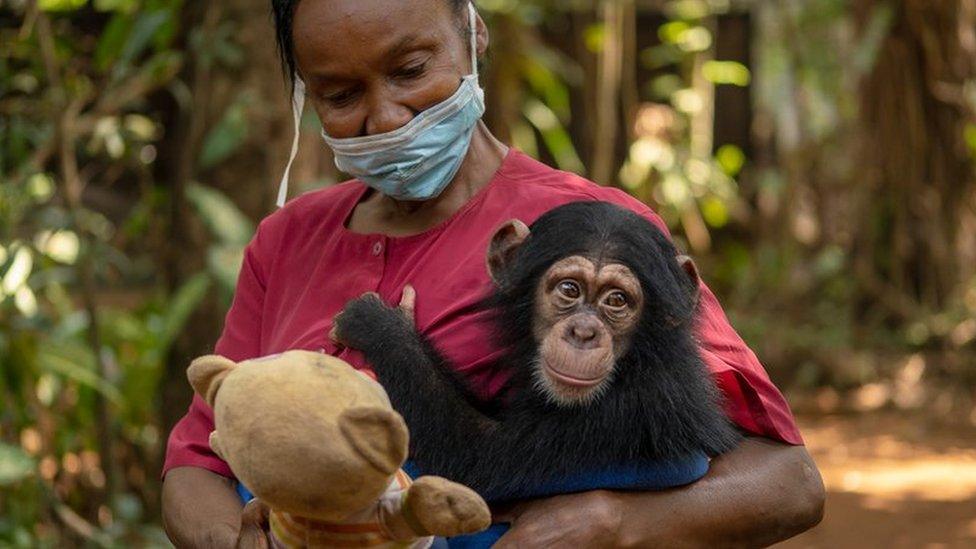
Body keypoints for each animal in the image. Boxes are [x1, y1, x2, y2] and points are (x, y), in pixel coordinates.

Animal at [332, 199, 736, 498]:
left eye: (617, 300)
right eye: (570, 289)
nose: (584, 332)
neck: (640, 357)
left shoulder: (638, 406)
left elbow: (478, 455)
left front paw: (381, 324)